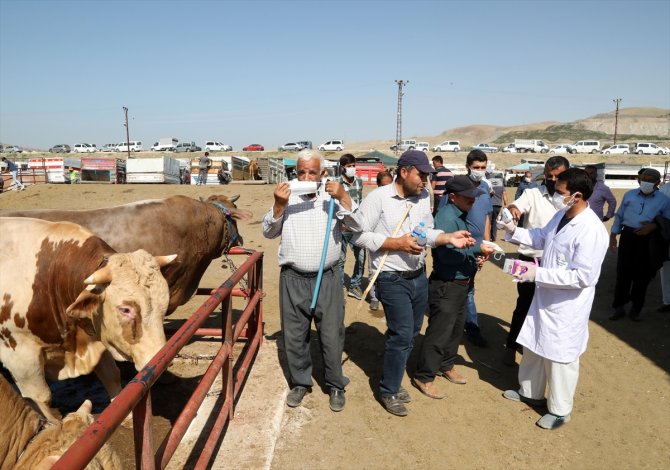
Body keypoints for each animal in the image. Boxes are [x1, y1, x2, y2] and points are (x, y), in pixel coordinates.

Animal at [0, 218, 177, 414]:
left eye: (164, 305)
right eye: (125, 309)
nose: (161, 359)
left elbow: (112, 376)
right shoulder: (21, 359)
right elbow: (42, 400)